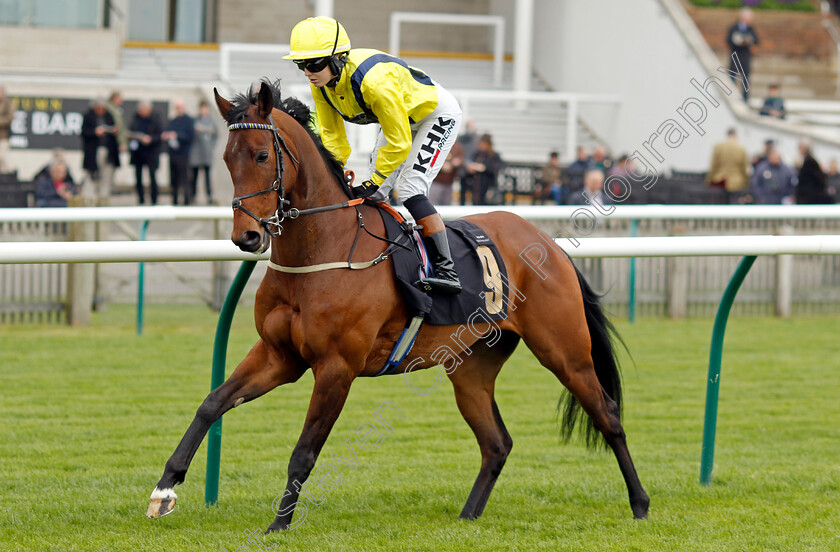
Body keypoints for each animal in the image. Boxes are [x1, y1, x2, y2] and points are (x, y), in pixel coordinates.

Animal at [146, 81, 648, 532]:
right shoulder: (278, 356)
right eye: (227, 159)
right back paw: (467, 517)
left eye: (261, 156)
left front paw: (279, 524)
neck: (321, 250)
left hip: (563, 349)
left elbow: (304, 450)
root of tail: (549, 241)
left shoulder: (336, 366)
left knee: (608, 415)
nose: (247, 236)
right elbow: (211, 404)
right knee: (497, 442)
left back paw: (640, 504)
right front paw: (164, 489)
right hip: (472, 367)